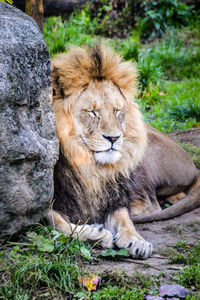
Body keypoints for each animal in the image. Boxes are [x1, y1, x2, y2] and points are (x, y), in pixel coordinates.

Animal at [48, 45, 200, 260]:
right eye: (92, 112)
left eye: (117, 111)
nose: (113, 138)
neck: (89, 168)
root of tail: (193, 166)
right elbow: (59, 224)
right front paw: (97, 234)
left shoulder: (114, 196)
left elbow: (124, 219)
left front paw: (137, 241)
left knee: (152, 203)